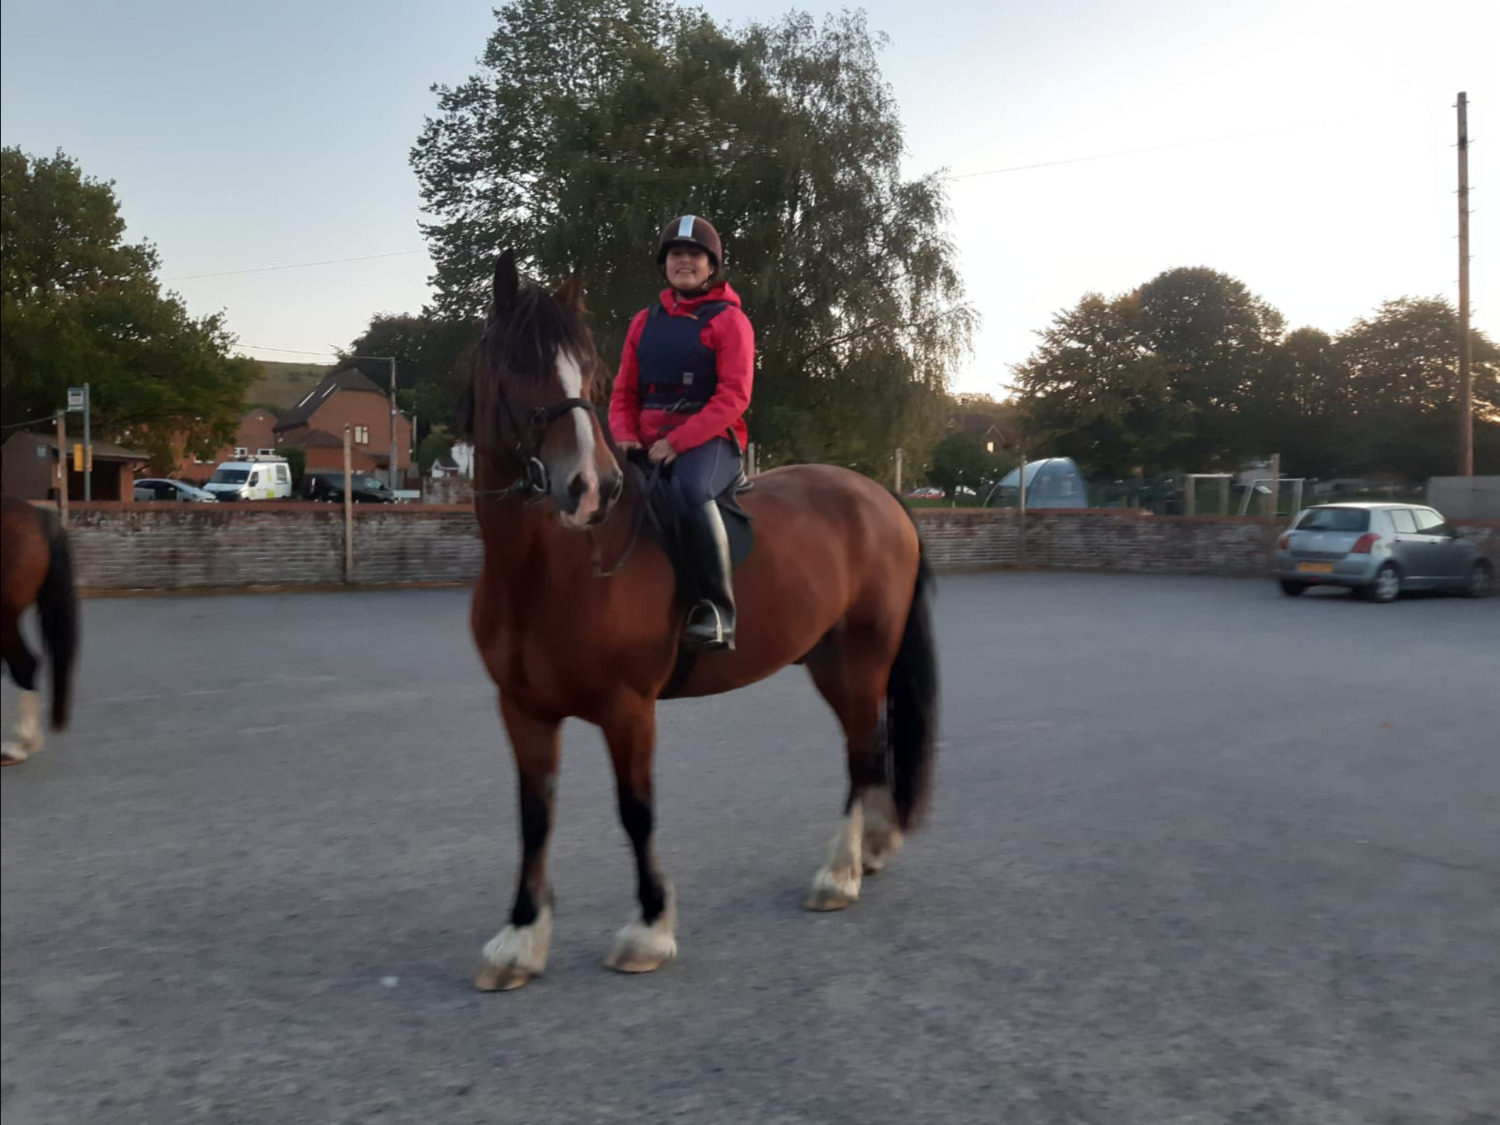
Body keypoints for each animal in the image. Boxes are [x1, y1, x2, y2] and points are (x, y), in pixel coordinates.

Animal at [464, 251, 938, 990]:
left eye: (589, 369)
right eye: (516, 365)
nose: (592, 489)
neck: (550, 571)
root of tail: (879, 494)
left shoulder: (628, 708)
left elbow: (636, 811)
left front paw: (649, 928)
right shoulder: (523, 710)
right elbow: (534, 817)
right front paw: (519, 938)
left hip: (865, 657)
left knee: (863, 750)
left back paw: (838, 874)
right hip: (831, 662)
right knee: (874, 744)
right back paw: (873, 848)